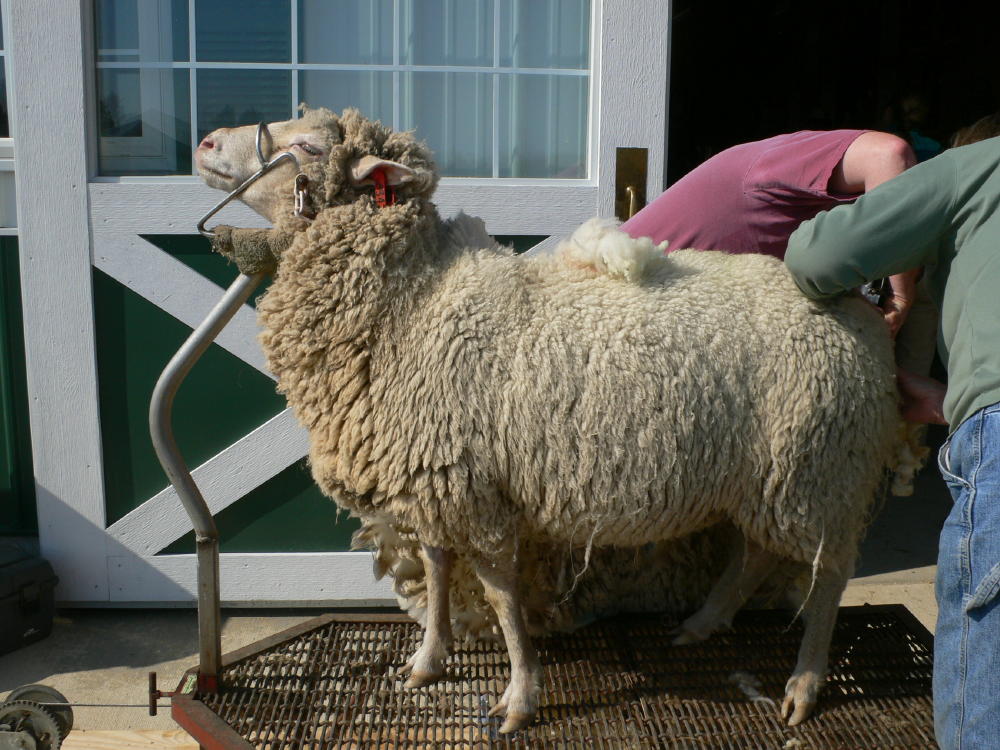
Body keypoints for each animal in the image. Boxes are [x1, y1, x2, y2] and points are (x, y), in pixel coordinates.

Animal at [196, 106, 913, 732]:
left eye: (309, 147)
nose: (204, 143)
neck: (413, 304)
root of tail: (862, 311)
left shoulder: (476, 496)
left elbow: (502, 600)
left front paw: (518, 698)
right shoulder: (435, 481)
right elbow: (436, 568)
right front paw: (429, 659)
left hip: (818, 469)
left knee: (828, 576)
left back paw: (803, 684)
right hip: (767, 478)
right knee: (758, 553)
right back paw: (702, 624)